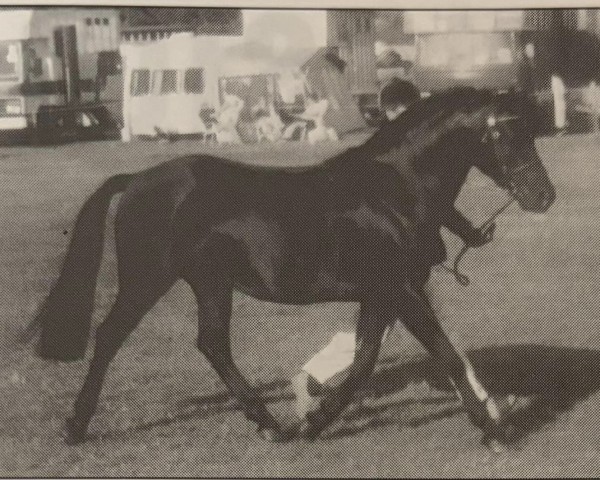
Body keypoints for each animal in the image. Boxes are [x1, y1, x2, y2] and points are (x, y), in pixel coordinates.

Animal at [25, 87, 556, 446]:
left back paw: (269, 424)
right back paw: (76, 426)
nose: (543, 196)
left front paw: (315, 421)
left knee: (212, 343)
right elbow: (441, 354)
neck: (393, 192)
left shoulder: (384, 295)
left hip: (210, 283)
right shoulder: (399, 290)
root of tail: (137, 179)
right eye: (505, 132)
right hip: (148, 279)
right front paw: (492, 430)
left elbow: (365, 359)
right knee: (112, 335)